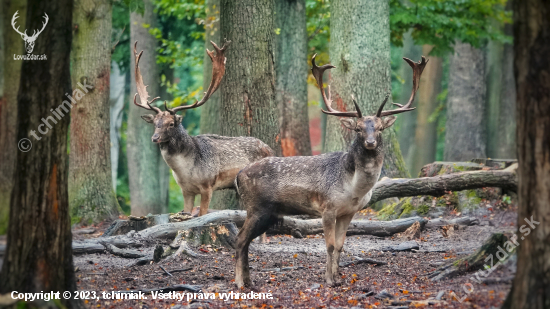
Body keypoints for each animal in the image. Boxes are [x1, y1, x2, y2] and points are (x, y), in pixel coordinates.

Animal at [134, 40, 276, 214]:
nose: (155, 138)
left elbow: (202, 213)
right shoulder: (186, 190)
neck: (185, 171)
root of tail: (271, 149)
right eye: (155, 123)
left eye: (171, 123)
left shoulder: (208, 185)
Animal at [235, 53, 430, 286]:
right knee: (240, 239)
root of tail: (239, 175)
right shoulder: (327, 207)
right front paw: (328, 279)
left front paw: (338, 278)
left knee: (245, 241)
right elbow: (328, 245)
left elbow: (340, 245)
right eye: (358, 129)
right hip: (256, 207)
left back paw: (247, 280)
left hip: (269, 213)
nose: (370, 142)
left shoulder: (349, 212)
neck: (354, 188)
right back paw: (239, 282)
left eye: (380, 127)